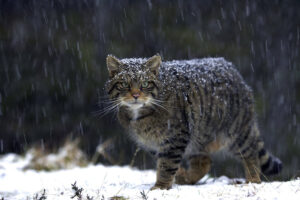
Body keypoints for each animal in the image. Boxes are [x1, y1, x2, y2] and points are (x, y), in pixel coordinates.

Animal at [105, 54, 282, 190]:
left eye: (145, 83)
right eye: (124, 84)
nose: (135, 95)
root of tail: (233, 70)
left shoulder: (175, 136)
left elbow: (167, 164)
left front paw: (161, 186)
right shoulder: (152, 144)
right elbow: (165, 163)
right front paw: (176, 176)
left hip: (237, 131)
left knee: (251, 154)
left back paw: (252, 179)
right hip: (199, 136)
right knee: (204, 162)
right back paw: (186, 178)